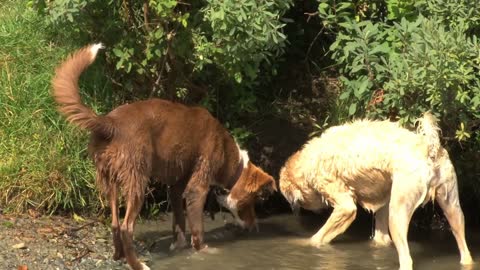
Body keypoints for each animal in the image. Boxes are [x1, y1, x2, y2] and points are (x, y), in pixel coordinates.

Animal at [52, 44, 276, 270]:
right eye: (254, 201)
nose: (254, 228)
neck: (231, 158)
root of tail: (110, 123)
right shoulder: (197, 188)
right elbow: (197, 230)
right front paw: (206, 252)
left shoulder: (176, 186)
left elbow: (179, 223)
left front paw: (178, 248)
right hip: (137, 179)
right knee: (126, 227)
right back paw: (138, 264)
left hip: (109, 178)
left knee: (115, 222)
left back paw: (119, 257)